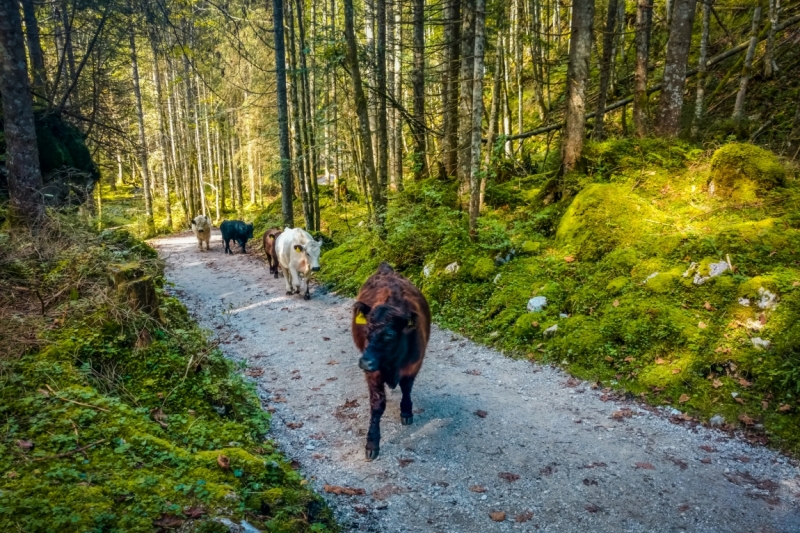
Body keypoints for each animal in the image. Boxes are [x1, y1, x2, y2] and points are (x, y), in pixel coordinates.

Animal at [352, 260, 432, 460]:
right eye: (367, 330)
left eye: (390, 334)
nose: (365, 362)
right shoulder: (373, 373)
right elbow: (377, 405)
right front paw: (372, 443)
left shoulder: (413, 365)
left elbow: (406, 388)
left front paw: (406, 411)